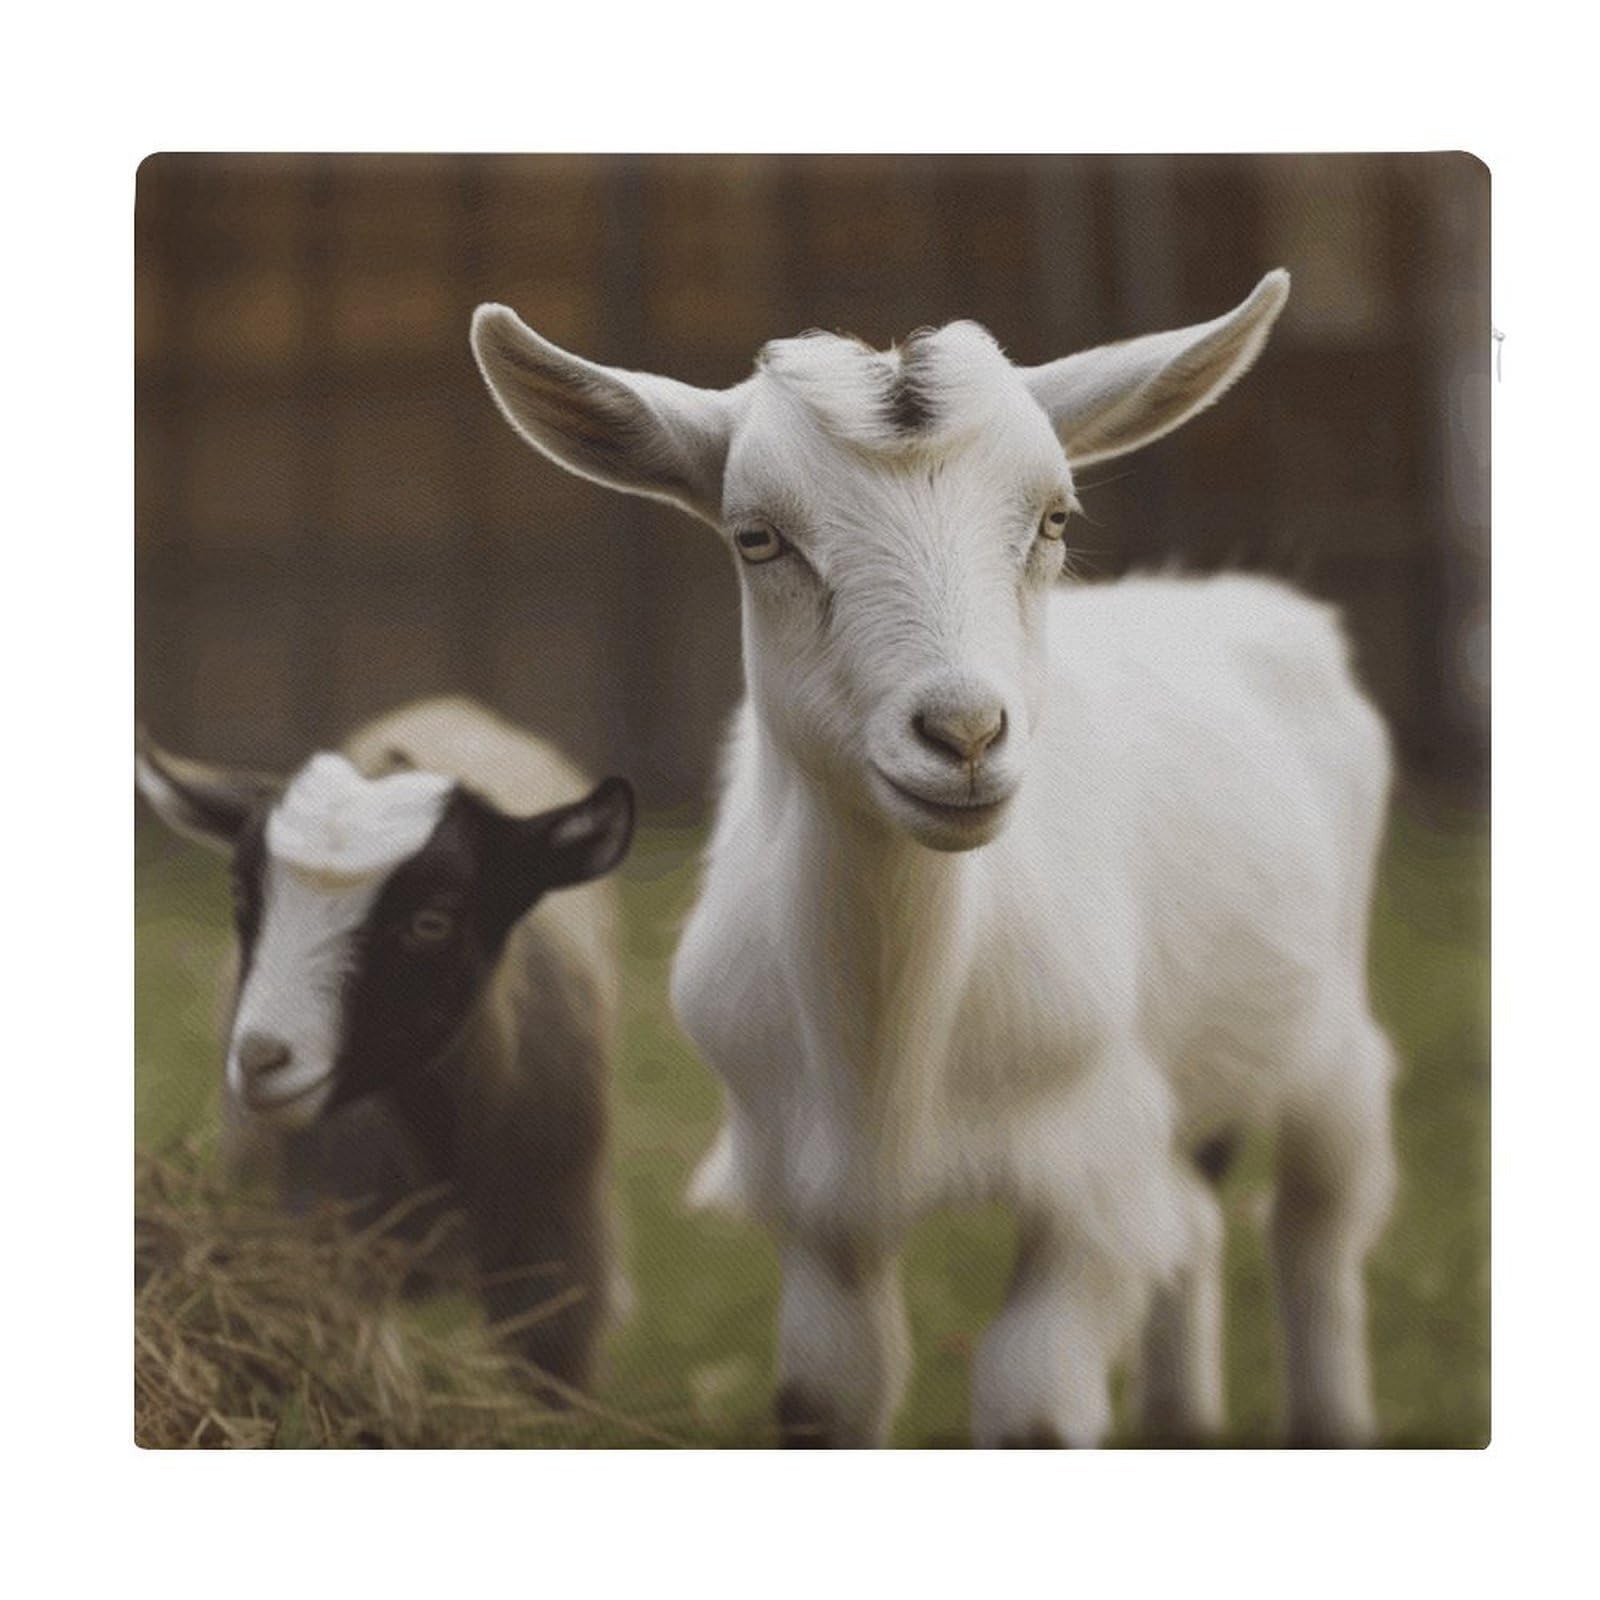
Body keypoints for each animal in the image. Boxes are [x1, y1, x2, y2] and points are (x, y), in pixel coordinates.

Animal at [470, 272, 1397, 1446]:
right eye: (756, 537)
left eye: (1055, 518)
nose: (963, 735)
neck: (893, 1064)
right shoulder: (811, 1195)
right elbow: (830, 1392)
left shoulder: (1089, 1166)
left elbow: (1032, 1406)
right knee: (1190, 1229)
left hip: (1326, 1031)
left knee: (1315, 1218)